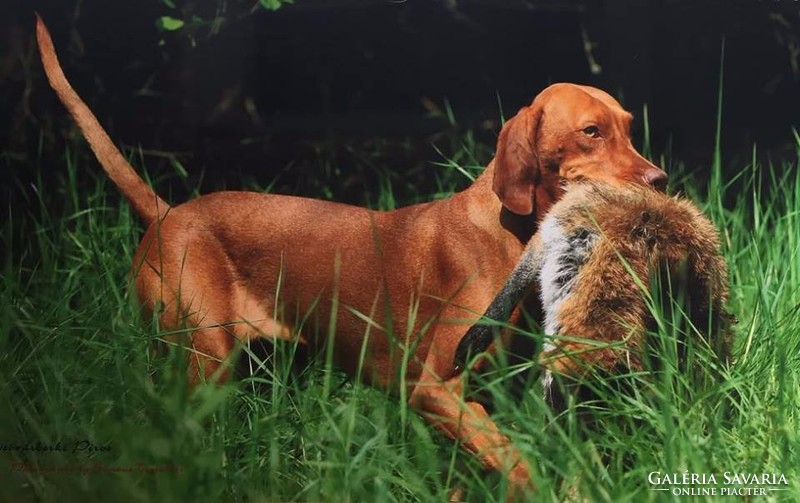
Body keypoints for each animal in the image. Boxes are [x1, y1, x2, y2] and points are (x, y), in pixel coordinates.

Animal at [34, 16, 664, 492]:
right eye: (591, 132)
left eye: (629, 128)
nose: (659, 181)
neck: (512, 233)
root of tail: (168, 214)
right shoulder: (432, 389)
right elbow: (521, 463)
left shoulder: (485, 402)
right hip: (200, 363)